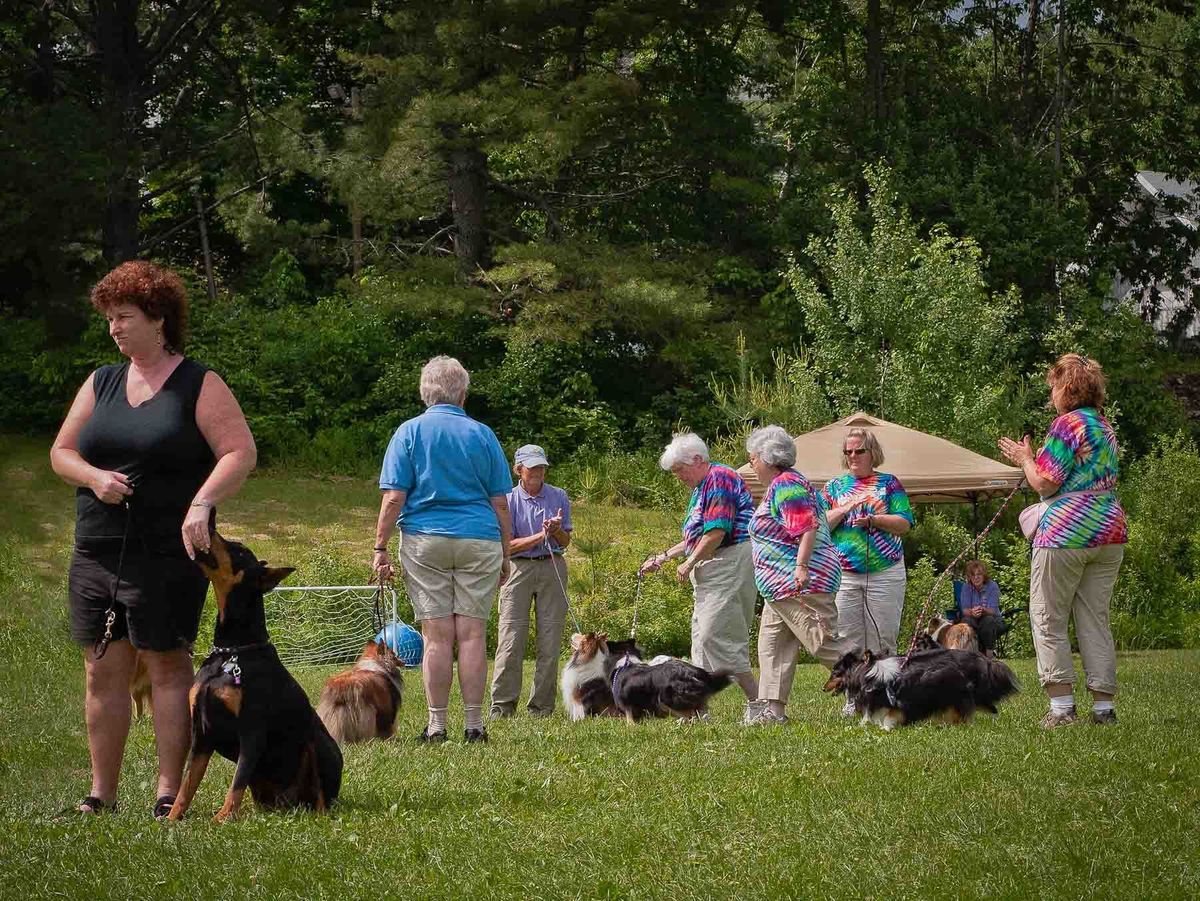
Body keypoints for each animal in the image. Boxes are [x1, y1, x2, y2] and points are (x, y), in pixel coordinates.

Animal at [166, 535, 343, 825]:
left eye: (239, 551)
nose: (210, 528)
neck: (231, 652)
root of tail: (290, 802)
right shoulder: (201, 733)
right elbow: (187, 782)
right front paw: (171, 818)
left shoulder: (252, 730)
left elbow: (237, 781)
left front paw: (221, 819)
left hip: (319, 743)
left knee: (322, 796)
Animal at [600, 638, 729, 724]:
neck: (625, 660)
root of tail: (694, 672)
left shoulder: (627, 708)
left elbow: (630, 722)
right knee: (703, 715)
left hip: (666, 699)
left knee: (689, 716)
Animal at [825, 643, 1012, 729]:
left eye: (834, 673)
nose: (823, 688)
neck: (868, 674)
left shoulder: (898, 703)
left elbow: (887, 718)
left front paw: (885, 728)